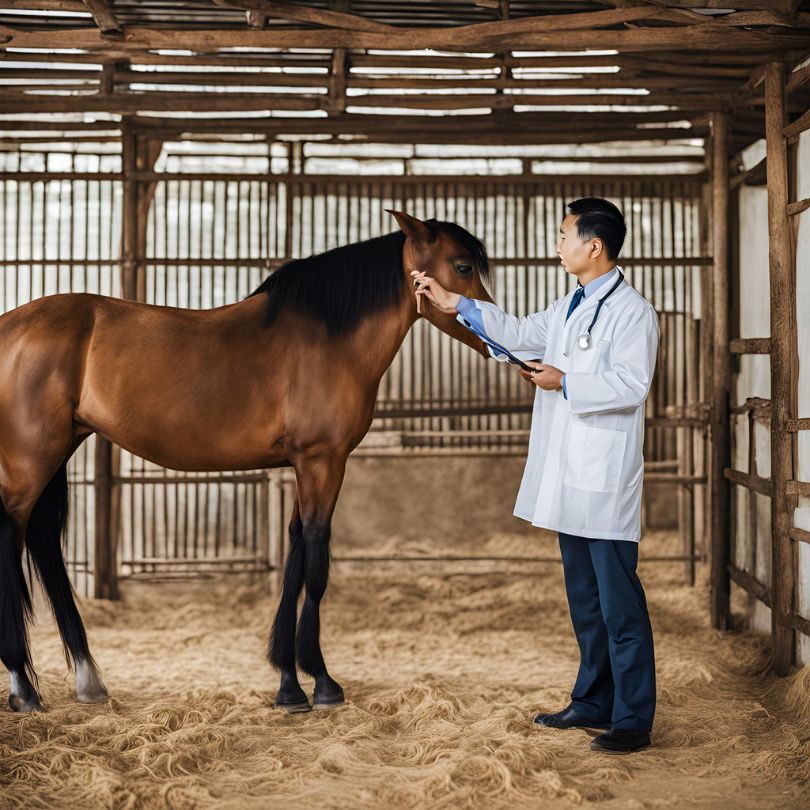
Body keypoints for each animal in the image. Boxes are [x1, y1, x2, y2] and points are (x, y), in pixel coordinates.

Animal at [0, 210, 492, 712]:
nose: (489, 332)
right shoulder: (323, 462)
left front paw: (288, 683)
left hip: (58, 451)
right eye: (463, 266)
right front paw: (321, 681)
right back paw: (23, 686)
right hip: (27, 468)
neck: (329, 338)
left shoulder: (304, 467)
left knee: (44, 544)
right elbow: (316, 565)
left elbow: (295, 557)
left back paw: (86, 680)